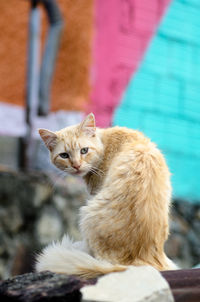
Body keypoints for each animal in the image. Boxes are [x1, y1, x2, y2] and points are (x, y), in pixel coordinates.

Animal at [36, 112, 177, 278]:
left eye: (84, 150)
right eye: (64, 155)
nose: (76, 165)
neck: (104, 143)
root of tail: (139, 262)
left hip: (86, 213)